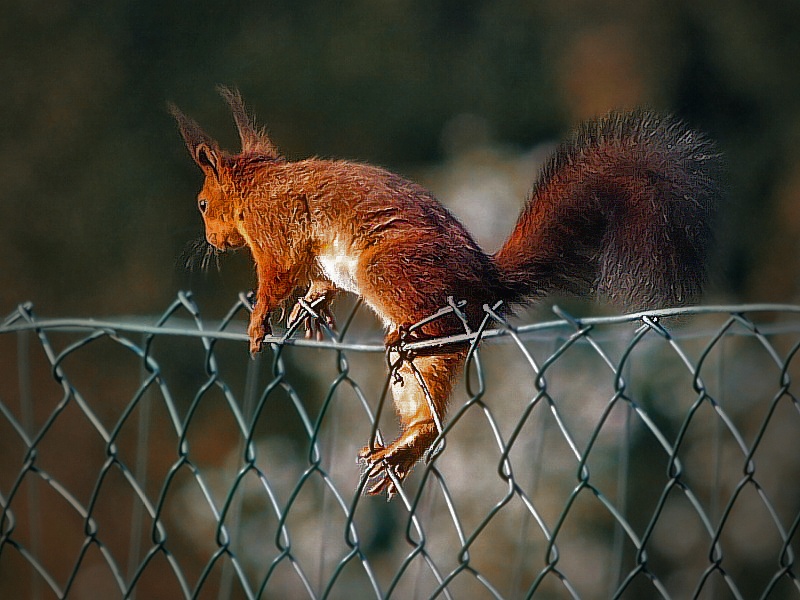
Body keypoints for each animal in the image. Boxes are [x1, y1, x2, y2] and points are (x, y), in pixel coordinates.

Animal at [169, 89, 720, 500]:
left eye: (202, 203)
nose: (214, 241)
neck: (260, 185)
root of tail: (487, 283)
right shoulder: (312, 257)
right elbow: (318, 281)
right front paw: (311, 307)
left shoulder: (275, 232)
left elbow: (276, 279)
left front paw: (258, 322)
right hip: (428, 354)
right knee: (429, 400)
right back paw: (404, 447)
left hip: (389, 270)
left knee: (434, 326)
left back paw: (404, 340)